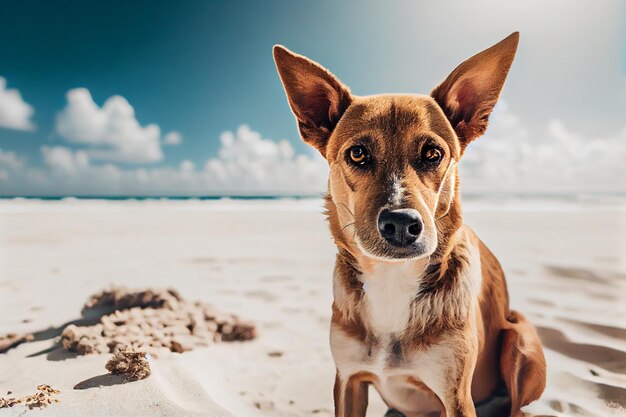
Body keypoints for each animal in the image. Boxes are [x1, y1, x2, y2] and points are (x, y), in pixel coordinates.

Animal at [272, 30, 540, 414]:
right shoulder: (348, 380)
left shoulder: (456, 396)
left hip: (521, 339)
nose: (400, 223)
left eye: (433, 153)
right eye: (357, 153)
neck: (392, 278)